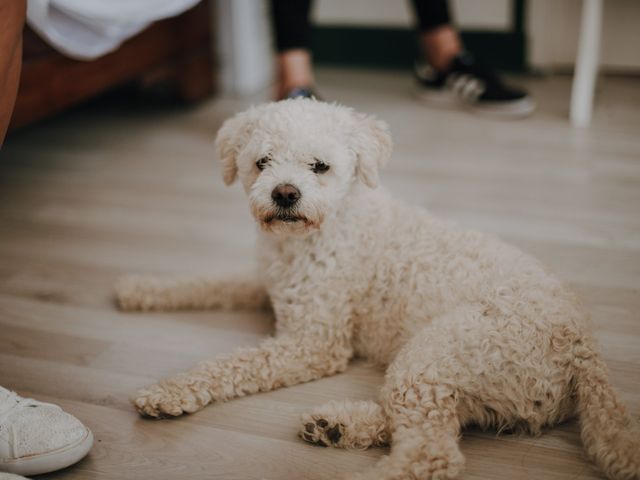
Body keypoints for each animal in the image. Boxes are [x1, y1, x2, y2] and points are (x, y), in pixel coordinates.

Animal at [116, 98, 640, 480]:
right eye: (262, 162)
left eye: (320, 166)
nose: (285, 194)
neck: (325, 227)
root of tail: (583, 349)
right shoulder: (265, 283)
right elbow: (207, 282)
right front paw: (140, 289)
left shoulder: (314, 343)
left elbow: (231, 364)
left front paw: (169, 389)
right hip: (459, 384)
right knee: (432, 426)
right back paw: (335, 426)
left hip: (433, 355)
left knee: (432, 454)